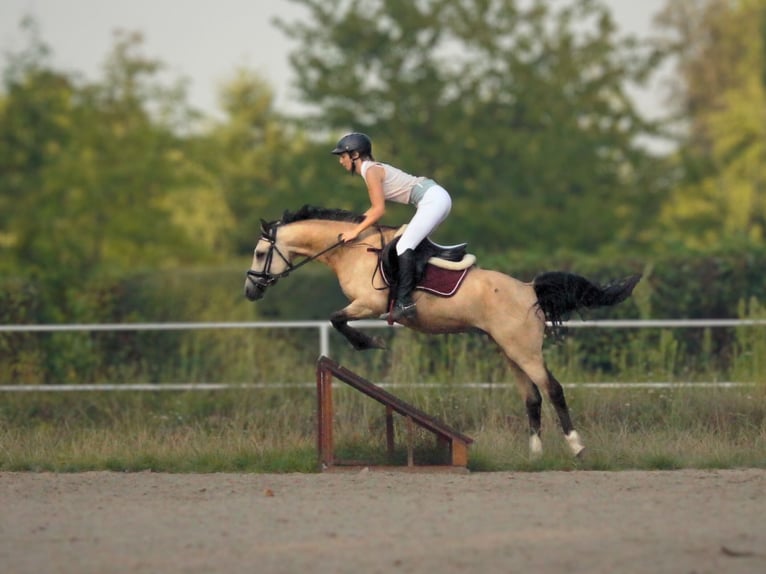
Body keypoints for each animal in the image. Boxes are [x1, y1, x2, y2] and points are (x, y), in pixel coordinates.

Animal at [244, 205, 641, 458]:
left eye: (261, 253)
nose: (250, 291)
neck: (351, 249)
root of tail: (529, 290)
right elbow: (337, 319)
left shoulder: (369, 304)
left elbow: (336, 319)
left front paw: (369, 341)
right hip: (508, 350)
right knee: (532, 397)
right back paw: (535, 455)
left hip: (524, 349)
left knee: (552, 389)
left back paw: (577, 447)